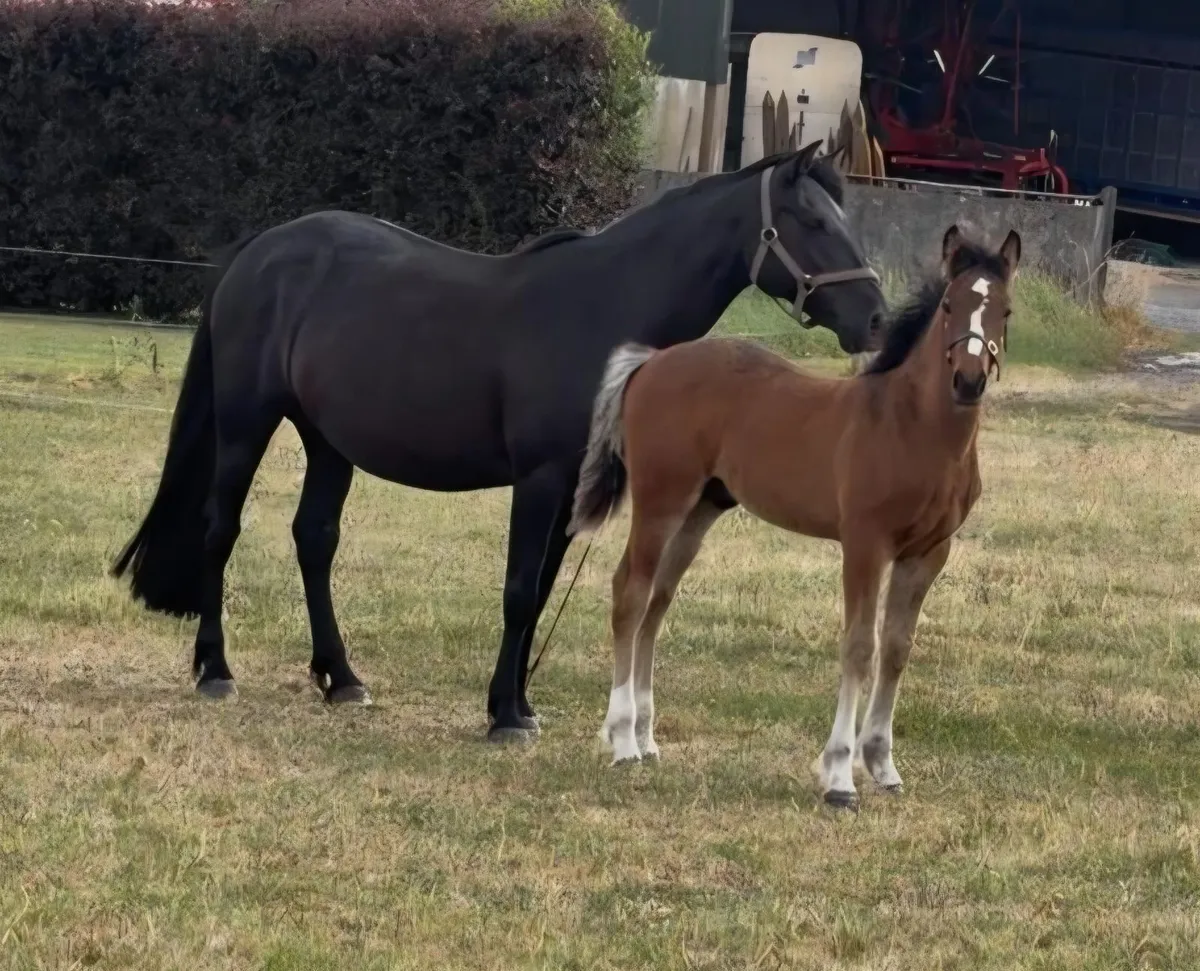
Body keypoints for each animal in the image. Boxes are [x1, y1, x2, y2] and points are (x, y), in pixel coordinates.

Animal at [111, 140, 888, 743]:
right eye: (810, 220)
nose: (878, 318)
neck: (604, 306)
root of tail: (261, 250)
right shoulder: (539, 479)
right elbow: (518, 590)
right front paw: (506, 719)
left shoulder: (572, 488)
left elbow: (539, 595)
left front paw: (515, 702)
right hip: (246, 425)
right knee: (221, 529)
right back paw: (215, 669)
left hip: (329, 442)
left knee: (314, 540)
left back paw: (343, 677)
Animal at [568, 224, 1020, 807]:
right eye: (948, 305)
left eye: (1004, 311)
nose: (968, 381)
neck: (912, 428)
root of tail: (651, 361)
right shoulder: (865, 543)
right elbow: (859, 647)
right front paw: (840, 776)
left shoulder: (927, 553)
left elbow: (897, 650)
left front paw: (884, 766)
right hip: (660, 500)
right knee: (630, 592)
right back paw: (623, 739)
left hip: (699, 512)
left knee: (657, 603)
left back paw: (647, 739)